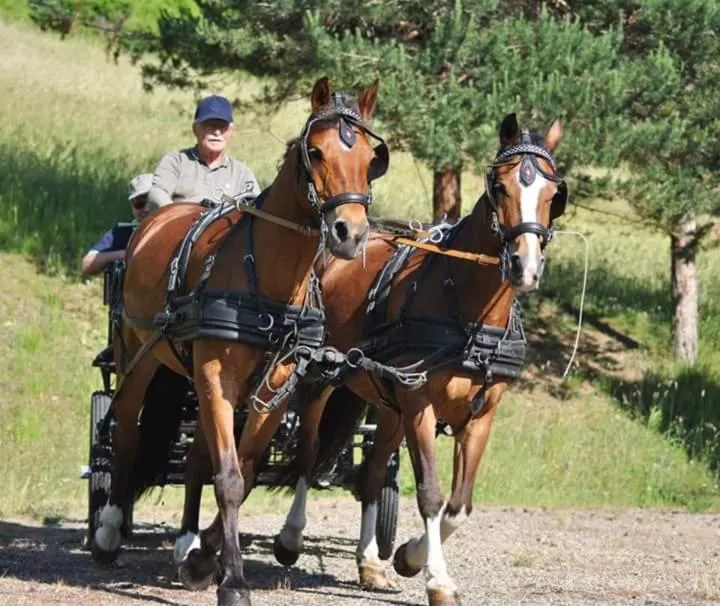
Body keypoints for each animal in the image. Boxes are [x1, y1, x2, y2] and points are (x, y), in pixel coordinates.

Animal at [89, 76, 389, 606]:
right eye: (315, 151)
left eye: (371, 158)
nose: (350, 233)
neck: (270, 279)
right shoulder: (217, 375)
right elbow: (228, 478)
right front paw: (231, 582)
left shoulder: (275, 387)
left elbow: (244, 471)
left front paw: (202, 560)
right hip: (138, 357)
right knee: (124, 433)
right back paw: (108, 530)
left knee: (196, 456)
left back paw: (186, 542)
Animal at [272, 113, 568, 606]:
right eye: (499, 186)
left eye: (553, 194)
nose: (523, 267)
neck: (468, 312)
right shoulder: (420, 405)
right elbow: (430, 494)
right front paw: (437, 579)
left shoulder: (480, 415)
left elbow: (459, 506)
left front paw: (407, 556)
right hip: (323, 378)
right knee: (309, 457)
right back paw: (291, 538)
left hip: (386, 404)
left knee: (372, 476)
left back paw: (371, 562)